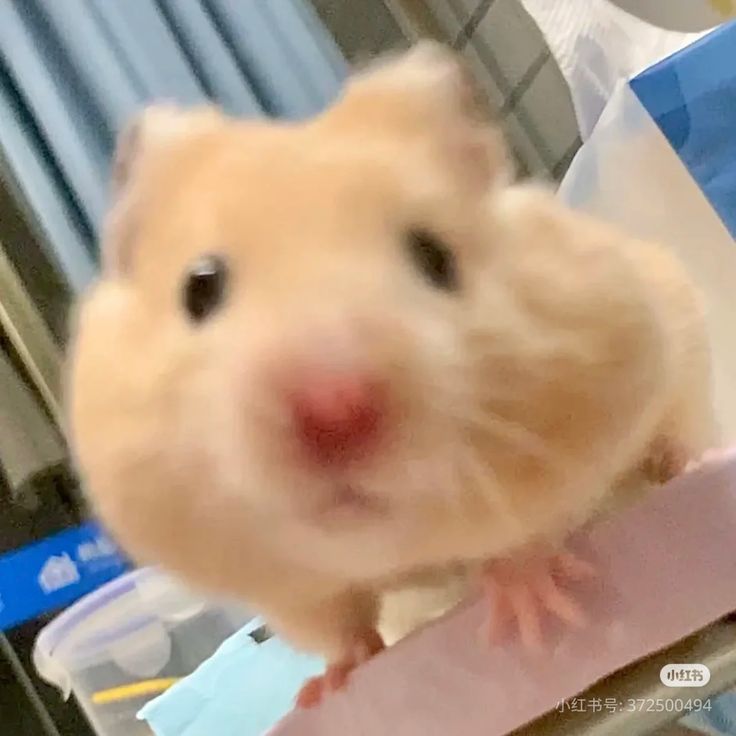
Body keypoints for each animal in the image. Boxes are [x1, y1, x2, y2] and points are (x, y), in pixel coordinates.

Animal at [67, 42, 714, 701]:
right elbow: (343, 629)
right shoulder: (296, 596)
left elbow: (526, 537)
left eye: (435, 256)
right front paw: (327, 688)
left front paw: (535, 617)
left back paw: (693, 465)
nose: (335, 410)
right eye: (199, 287)